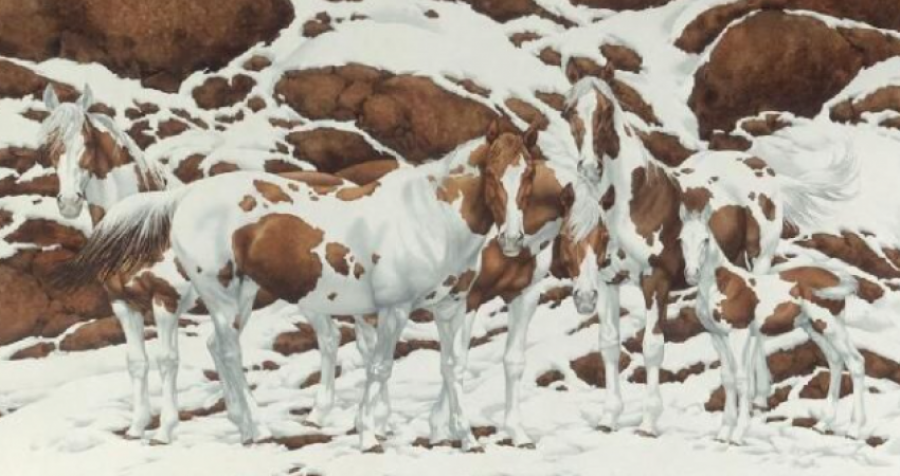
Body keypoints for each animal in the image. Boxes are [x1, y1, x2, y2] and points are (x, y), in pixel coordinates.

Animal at [38, 83, 384, 444]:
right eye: (50, 148)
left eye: (87, 143)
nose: (68, 203)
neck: (143, 226)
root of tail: (347, 185)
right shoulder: (123, 303)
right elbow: (137, 361)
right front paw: (137, 426)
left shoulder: (166, 300)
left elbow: (168, 359)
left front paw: (167, 429)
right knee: (345, 340)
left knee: (344, 341)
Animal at [58, 122, 540, 450]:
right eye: (492, 175)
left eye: (529, 176)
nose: (514, 240)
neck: (428, 219)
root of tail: (186, 195)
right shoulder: (394, 309)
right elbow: (380, 367)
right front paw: (369, 434)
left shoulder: (451, 307)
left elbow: (452, 367)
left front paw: (464, 436)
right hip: (219, 295)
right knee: (228, 352)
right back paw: (256, 429)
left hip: (243, 294)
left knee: (223, 348)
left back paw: (247, 424)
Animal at [564, 77, 856, 436]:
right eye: (570, 114)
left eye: (605, 114)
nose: (589, 168)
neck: (639, 200)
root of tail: (766, 170)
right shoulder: (609, 282)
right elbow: (608, 345)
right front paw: (608, 418)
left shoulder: (655, 282)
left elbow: (651, 348)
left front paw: (648, 422)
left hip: (760, 258)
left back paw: (758, 399)